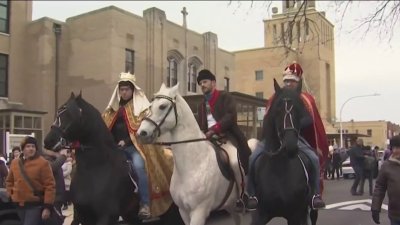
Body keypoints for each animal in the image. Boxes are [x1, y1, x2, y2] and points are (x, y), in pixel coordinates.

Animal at [43, 92, 181, 225]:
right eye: (58, 112)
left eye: (71, 114)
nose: (49, 140)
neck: (95, 169)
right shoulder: (82, 215)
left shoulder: (107, 216)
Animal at [137, 83, 244, 224]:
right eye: (150, 106)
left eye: (162, 106)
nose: (141, 133)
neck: (194, 164)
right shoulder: (183, 211)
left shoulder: (199, 211)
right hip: (230, 206)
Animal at [252, 79, 318, 225]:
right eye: (278, 109)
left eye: (299, 110)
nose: (290, 146)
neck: (279, 170)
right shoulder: (260, 214)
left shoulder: (296, 215)